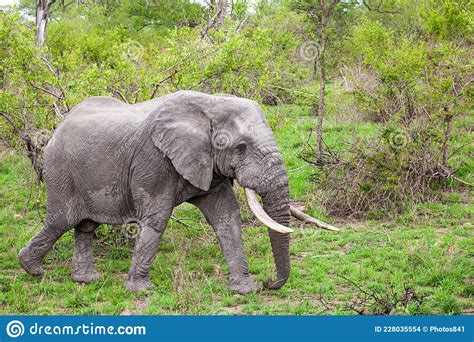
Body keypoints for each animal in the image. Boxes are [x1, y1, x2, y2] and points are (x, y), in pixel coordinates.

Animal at [18, 90, 336, 294]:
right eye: (241, 147)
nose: (270, 283)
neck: (211, 105)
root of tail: (57, 127)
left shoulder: (209, 165)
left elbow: (226, 216)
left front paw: (244, 289)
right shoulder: (153, 159)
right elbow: (156, 219)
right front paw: (141, 291)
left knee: (85, 226)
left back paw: (87, 280)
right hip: (60, 170)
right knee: (60, 221)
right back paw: (33, 270)